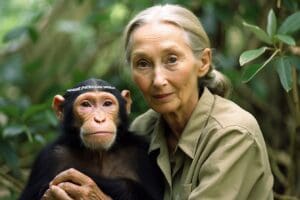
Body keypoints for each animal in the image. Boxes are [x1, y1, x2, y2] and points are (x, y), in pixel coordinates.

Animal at [18, 78, 164, 200]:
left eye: (107, 104)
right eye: (86, 105)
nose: (99, 119)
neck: (99, 154)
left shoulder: (142, 153)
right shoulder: (49, 157)